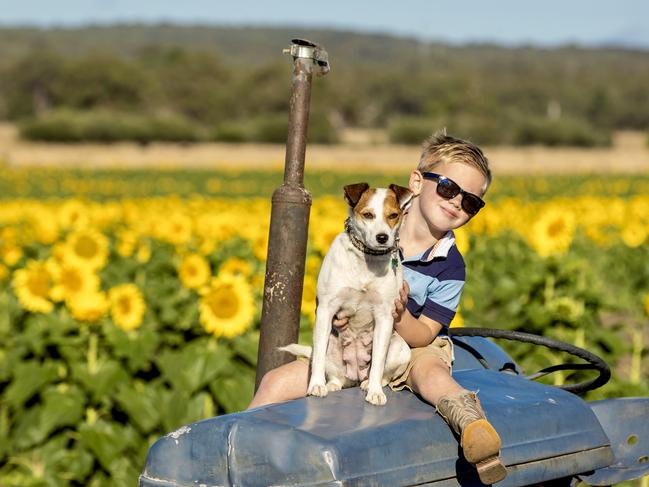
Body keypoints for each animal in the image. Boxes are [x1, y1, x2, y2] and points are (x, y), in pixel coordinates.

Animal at [280, 183, 412, 408]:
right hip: (327, 346)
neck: (366, 259)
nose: (383, 237)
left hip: (400, 348)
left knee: (382, 374)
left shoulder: (385, 316)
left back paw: (369, 384)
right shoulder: (326, 310)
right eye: (368, 214)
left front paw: (375, 392)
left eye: (393, 215)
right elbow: (318, 361)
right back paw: (331, 385)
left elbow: (378, 363)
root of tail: (355, 374)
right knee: (334, 374)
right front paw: (316, 386)